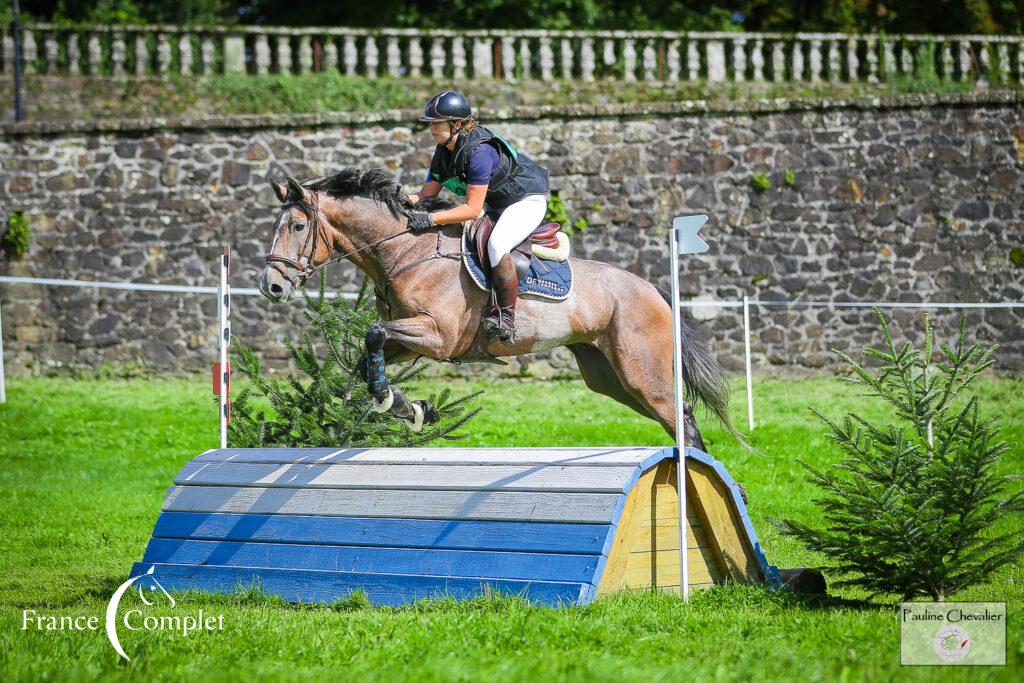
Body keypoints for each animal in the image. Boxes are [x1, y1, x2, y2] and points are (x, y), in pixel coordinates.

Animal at [256, 168, 737, 450]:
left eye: (297, 226)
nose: (272, 286)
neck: (406, 250)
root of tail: (654, 289)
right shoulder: (410, 338)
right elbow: (367, 358)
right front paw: (409, 408)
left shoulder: (438, 336)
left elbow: (372, 335)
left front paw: (407, 406)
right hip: (609, 377)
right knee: (673, 418)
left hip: (642, 372)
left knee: (681, 416)